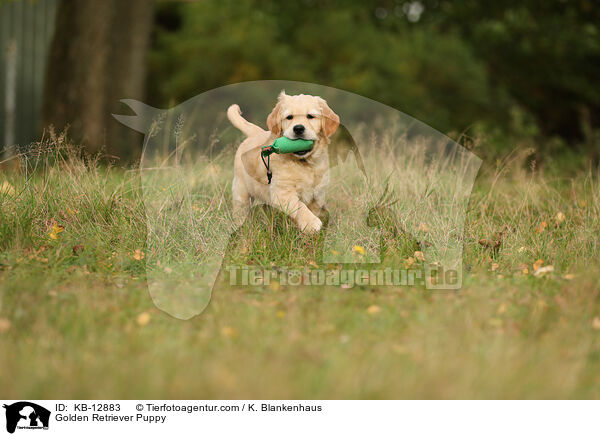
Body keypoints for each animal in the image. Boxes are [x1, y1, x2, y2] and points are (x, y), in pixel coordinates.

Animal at [227, 91, 340, 233]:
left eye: (310, 116)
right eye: (289, 117)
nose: (298, 128)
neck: (304, 163)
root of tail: (256, 133)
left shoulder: (318, 194)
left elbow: (312, 209)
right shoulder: (282, 192)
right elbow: (299, 206)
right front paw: (311, 223)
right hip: (241, 192)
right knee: (240, 212)